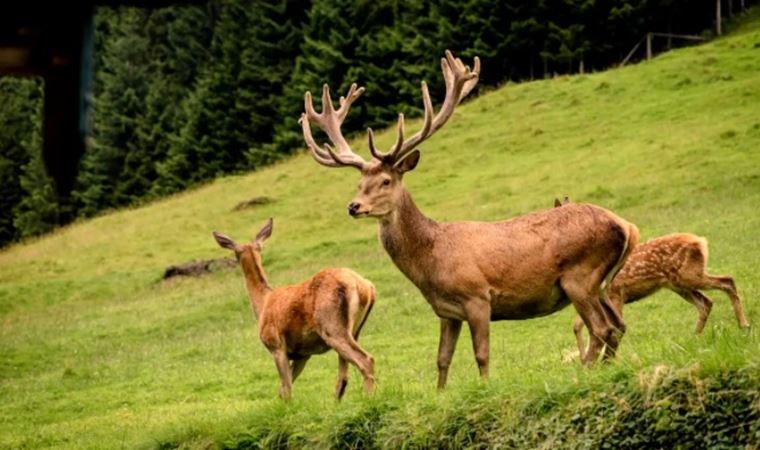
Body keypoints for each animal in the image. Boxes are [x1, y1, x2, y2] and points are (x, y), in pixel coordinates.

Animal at [211, 220, 378, 400]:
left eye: (235, 252)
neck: (263, 303)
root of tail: (365, 287)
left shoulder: (276, 345)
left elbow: (286, 388)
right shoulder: (303, 354)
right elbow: (283, 388)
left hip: (332, 326)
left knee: (365, 360)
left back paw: (369, 399)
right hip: (355, 330)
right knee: (343, 377)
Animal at [300, 48, 640, 386]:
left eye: (385, 181)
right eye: (359, 183)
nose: (354, 206)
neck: (431, 260)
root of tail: (626, 227)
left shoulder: (478, 297)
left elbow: (481, 354)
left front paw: (486, 388)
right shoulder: (446, 312)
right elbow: (442, 360)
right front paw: (441, 393)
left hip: (579, 276)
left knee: (602, 328)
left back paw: (585, 372)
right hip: (600, 283)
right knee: (618, 326)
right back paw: (608, 367)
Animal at [572, 232, 752, 358]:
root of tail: (701, 241)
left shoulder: (616, 293)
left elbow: (614, 326)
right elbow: (577, 325)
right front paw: (583, 357)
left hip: (689, 275)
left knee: (727, 280)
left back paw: (744, 324)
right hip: (679, 284)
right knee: (706, 302)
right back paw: (693, 338)